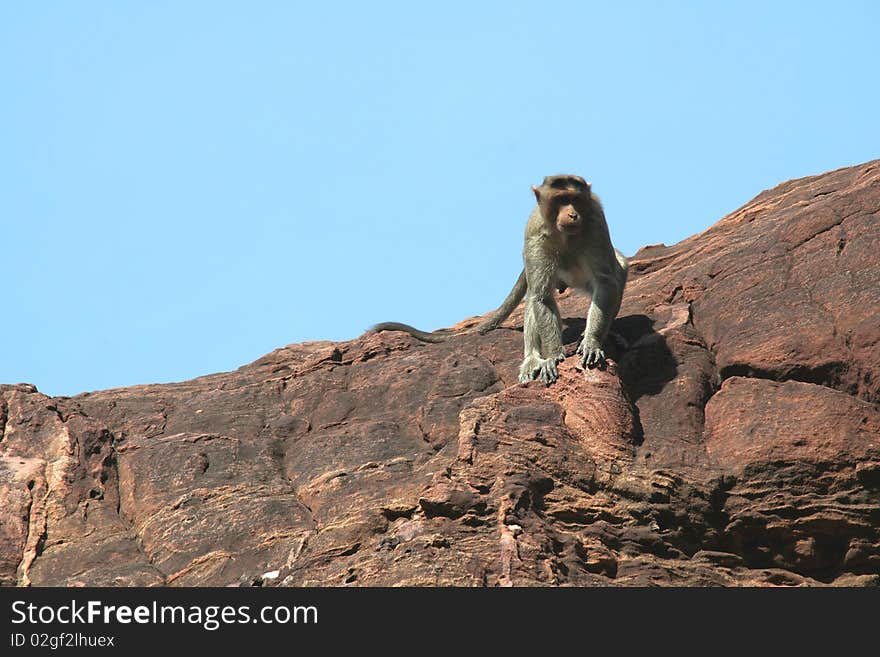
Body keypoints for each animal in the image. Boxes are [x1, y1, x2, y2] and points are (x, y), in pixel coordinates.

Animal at [370, 176, 624, 384]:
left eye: (575, 199)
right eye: (562, 200)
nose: (572, 214)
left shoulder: (595, 224)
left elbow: (606, 280)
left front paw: (592, 341)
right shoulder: (536, 235)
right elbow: (541, 297)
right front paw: (553, 356)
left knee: (618, 271)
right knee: (534, 295)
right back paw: (533, 359)